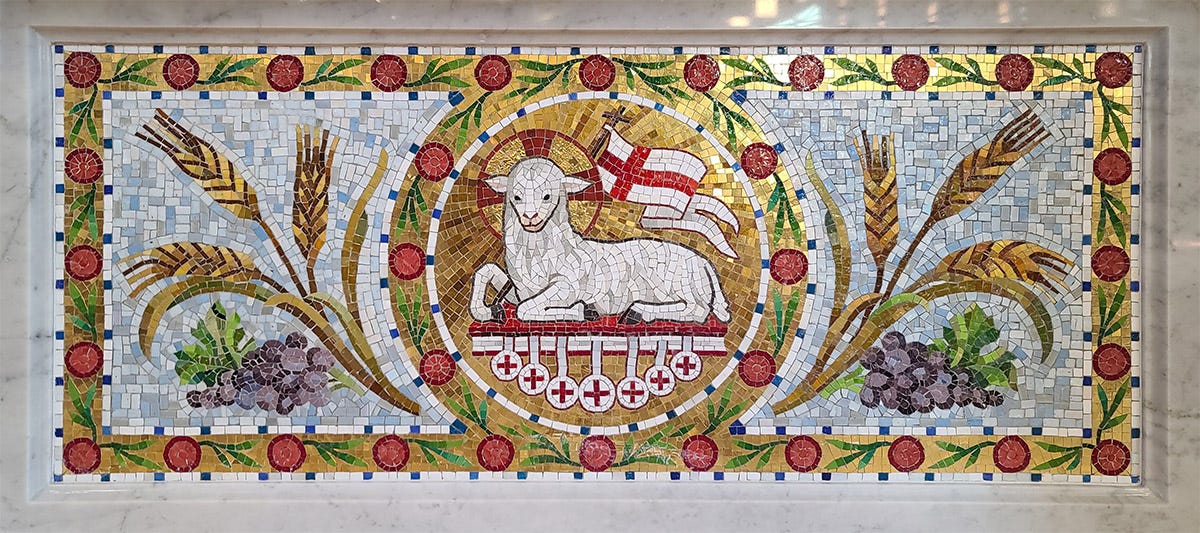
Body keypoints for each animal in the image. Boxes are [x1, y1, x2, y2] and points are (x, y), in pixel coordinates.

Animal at [468, 156, 732, 325]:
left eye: (547, 196)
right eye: (516, 196)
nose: (530, 218)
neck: (538, 253)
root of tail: (704, 262)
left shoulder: (567, 285)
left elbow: (524, 310)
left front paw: (583, 311)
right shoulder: (519, 290)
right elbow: (487, 271)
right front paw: (486, 311)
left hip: (680, 284)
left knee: (698, 311)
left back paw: (637, 313)